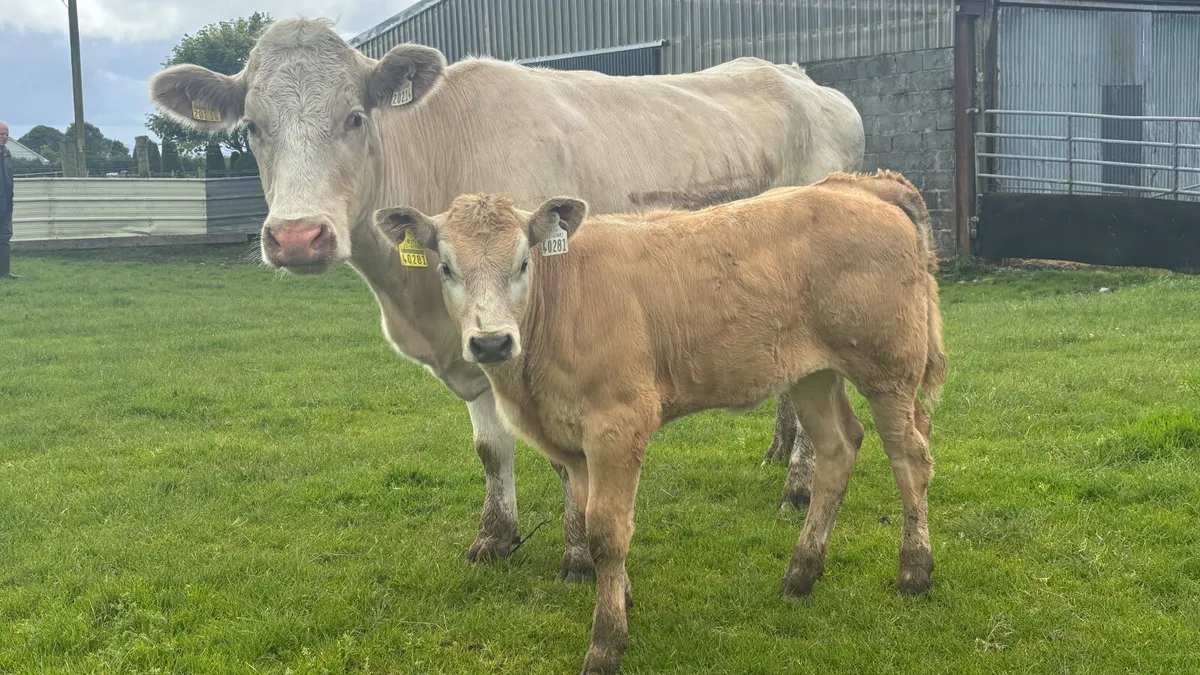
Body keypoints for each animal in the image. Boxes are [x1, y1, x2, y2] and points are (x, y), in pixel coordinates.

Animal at [147, 17, 865, 581]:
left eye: (354, 116)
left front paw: (576, 557)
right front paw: (495, 536)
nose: (297, 236)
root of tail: (801, 78)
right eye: (253, 126)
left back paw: (799, 482)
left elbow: (565, 463)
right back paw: (779, 452)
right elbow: (491, 449)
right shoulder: (473, 341)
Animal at [371, 170, 948, 674]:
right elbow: (589, 516)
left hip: (888, 369)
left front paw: (606, 643)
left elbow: (607, 531)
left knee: (911, 458)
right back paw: (802, 574)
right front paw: (620, 596)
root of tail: (859, 186)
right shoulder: (574, 443)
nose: (491, 343)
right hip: (814, 375)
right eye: (445, 267)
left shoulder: (618, 424)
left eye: (522, 263)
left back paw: (914, 572)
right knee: (837, 450)